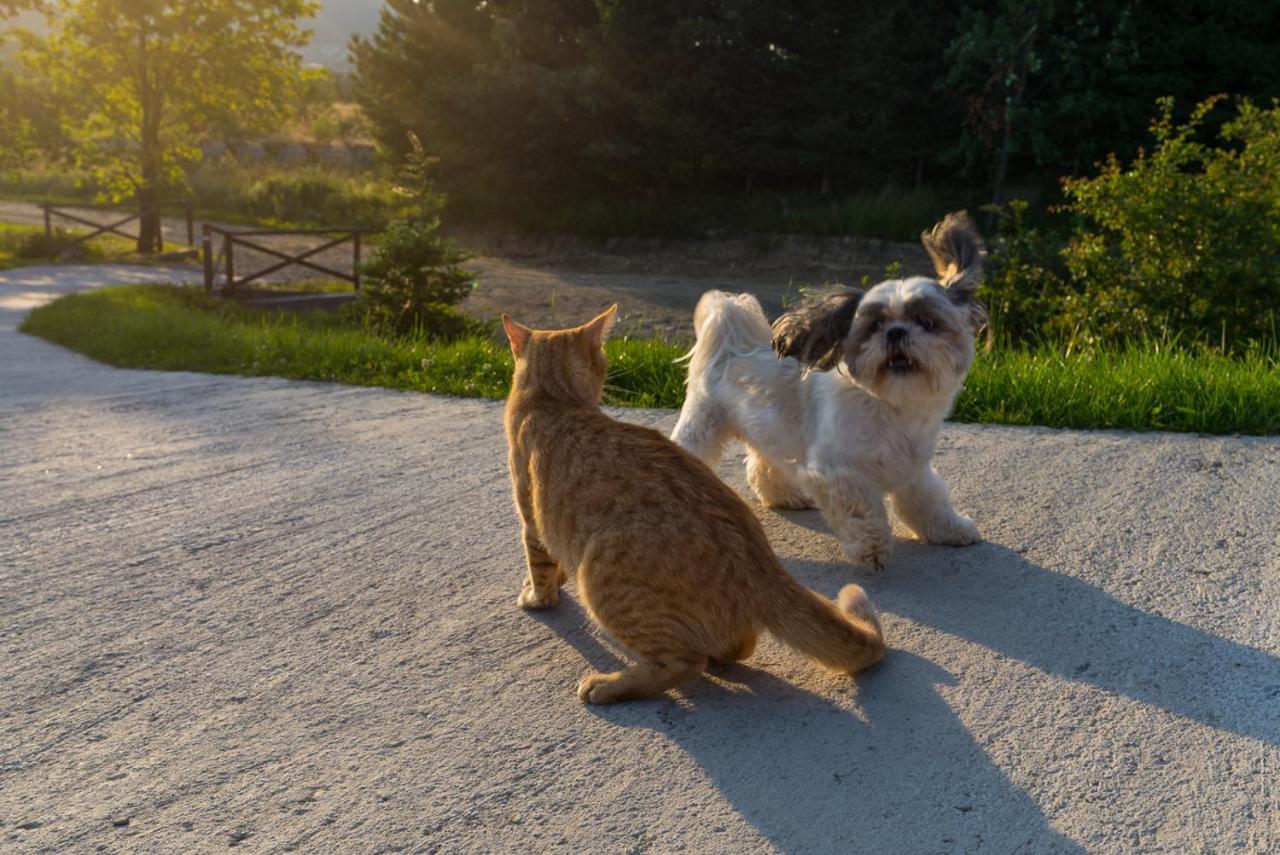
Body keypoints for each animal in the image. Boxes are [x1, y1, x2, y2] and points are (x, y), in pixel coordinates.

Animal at [504, 305, 885, 701]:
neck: (554, 399)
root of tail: (759, 561)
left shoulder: (531, 516)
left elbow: (539, 565)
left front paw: (537, 597)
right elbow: (555, 560)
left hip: (602, 581)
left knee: (684, 663)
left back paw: (609, 686)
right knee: (737, 647)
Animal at [675, 209, 983, 568]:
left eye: (927, 322)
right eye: (875, 325)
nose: (896, 332)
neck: (891, 404)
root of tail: (729, 347)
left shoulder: (914, 471)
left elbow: (929, 502)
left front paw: (950, 529)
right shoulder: (835, 473)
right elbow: (862, 510)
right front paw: (872, 548)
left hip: (770, 431)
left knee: (762, 466)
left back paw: (785, 496)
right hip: (702, 426)